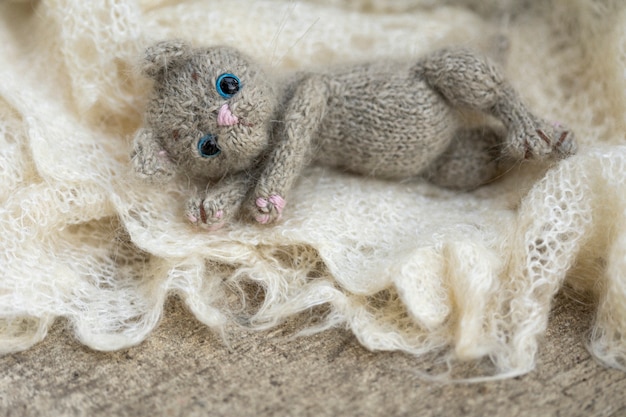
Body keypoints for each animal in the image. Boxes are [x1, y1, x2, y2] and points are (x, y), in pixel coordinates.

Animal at [130, 40, 576, 229]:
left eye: (228, 83)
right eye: (207, 147)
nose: (227, 119)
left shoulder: (309, 93)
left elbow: (290, 143)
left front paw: (267, 200)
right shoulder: (256, 155)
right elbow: (244, 173)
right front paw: (211, 205)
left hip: (443, 74)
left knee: (494, 91)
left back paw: (535, 132)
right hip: (452, 163)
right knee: (476, 157)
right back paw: (510, 151)